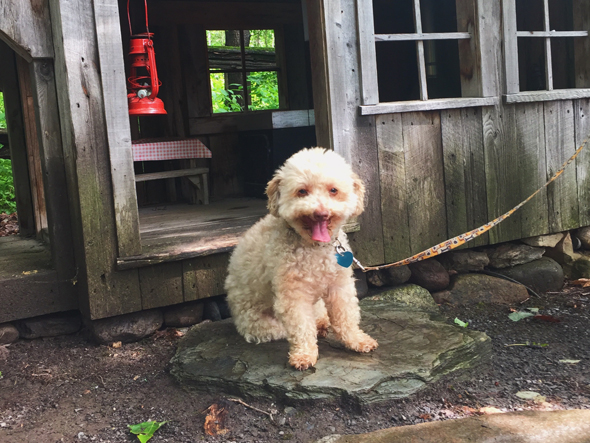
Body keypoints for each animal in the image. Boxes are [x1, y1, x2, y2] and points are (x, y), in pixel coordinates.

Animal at [227, 147, 380, 370]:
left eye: (333, 190)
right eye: (302, 191)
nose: (321, 213)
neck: (314, 247)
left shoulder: (339, 285)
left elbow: (346, 316)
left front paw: (357, 340)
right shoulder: (293, 294)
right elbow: (301, 327)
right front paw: (304, 355)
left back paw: (322, 322)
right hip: (261, 324)